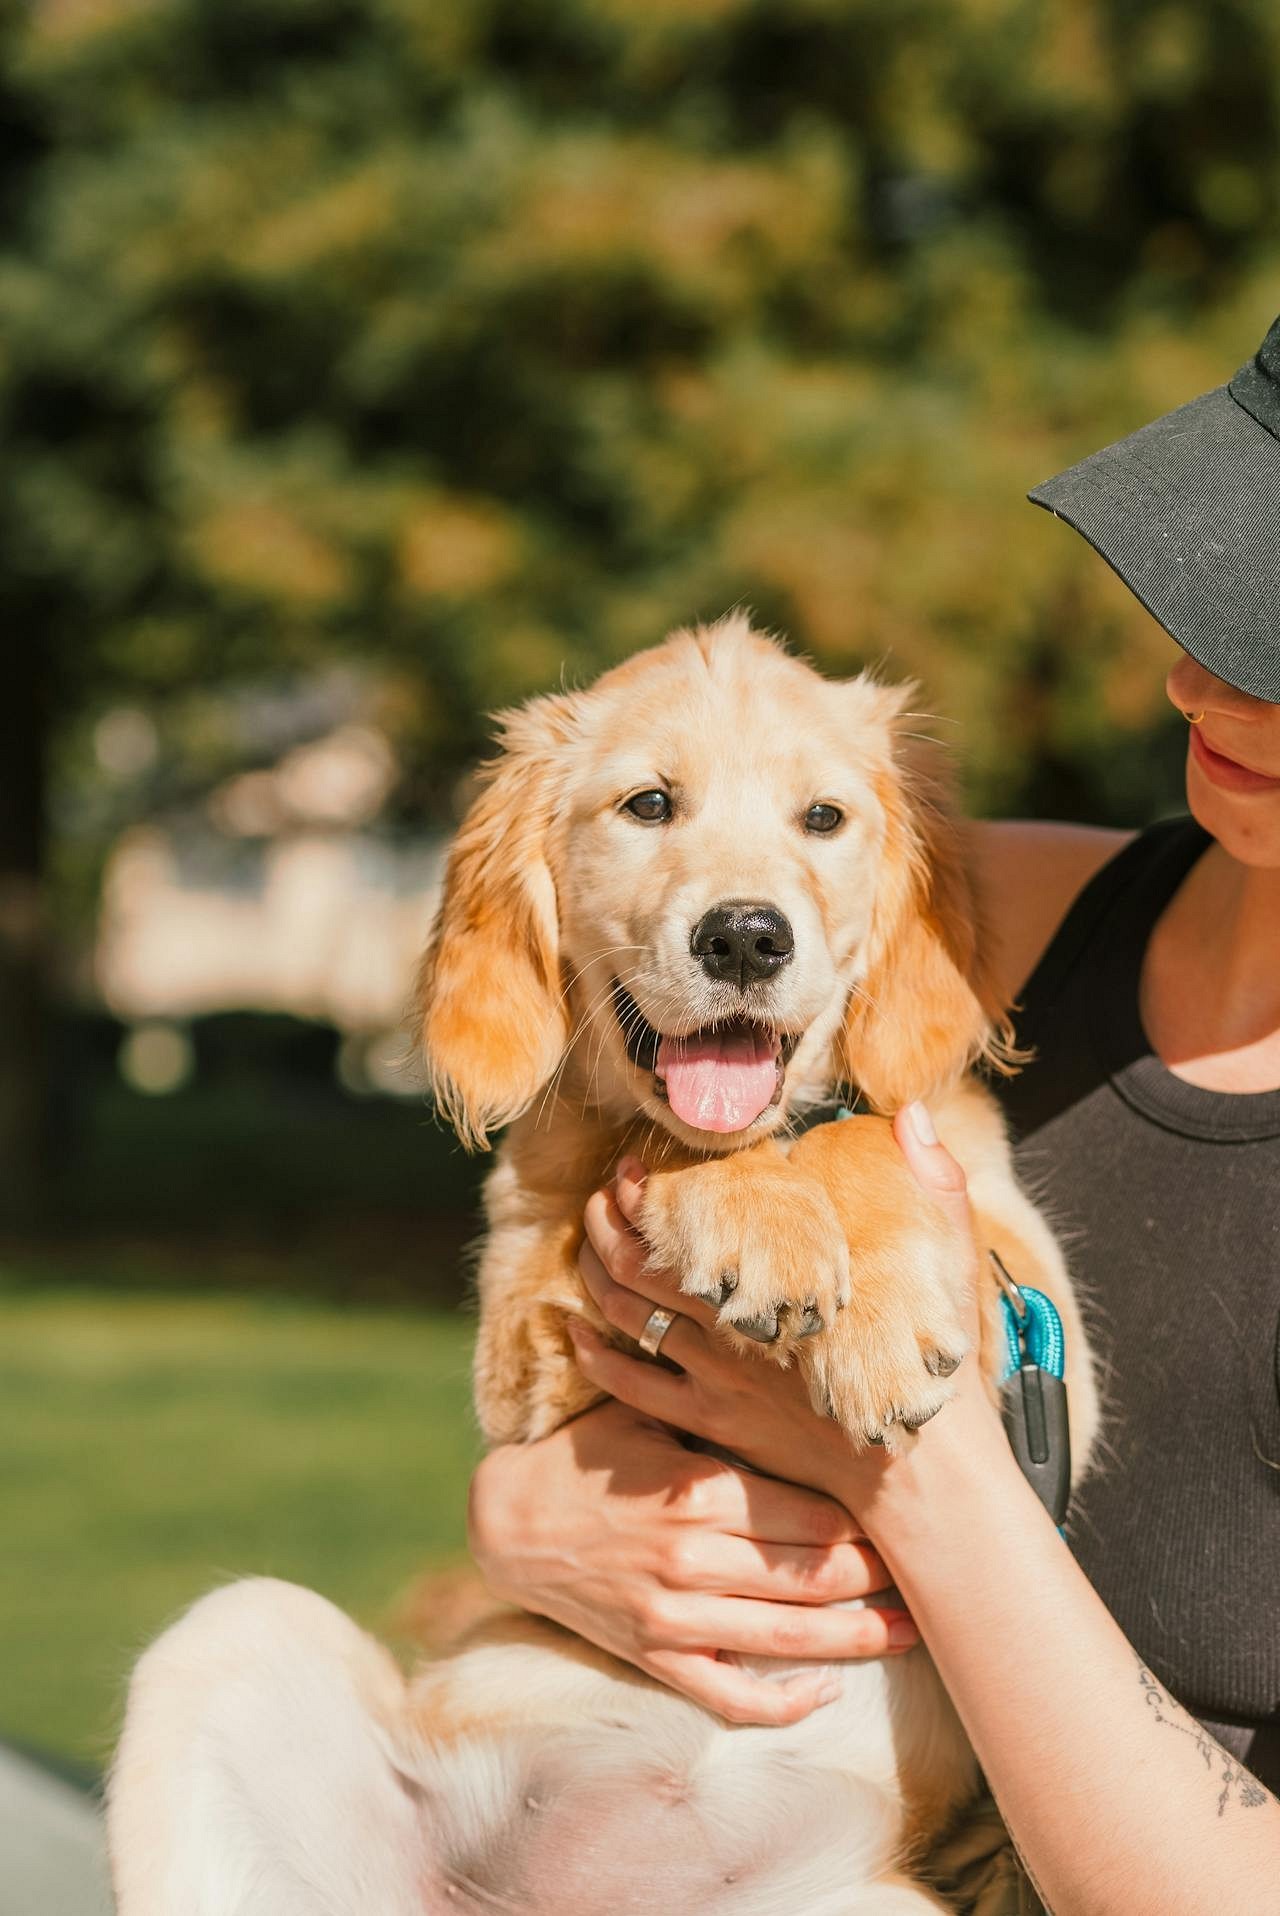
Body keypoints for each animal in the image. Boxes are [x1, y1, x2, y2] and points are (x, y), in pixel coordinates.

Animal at [107, 616, 1103, 1916]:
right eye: (648, 804)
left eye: (822, 817)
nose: (744, 935)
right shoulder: (521, 1355)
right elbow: (656, 1149)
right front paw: (749, 1220)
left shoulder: (1044, 1339)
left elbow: (865, 1128)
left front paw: (870, 1318)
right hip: (230, 1637)